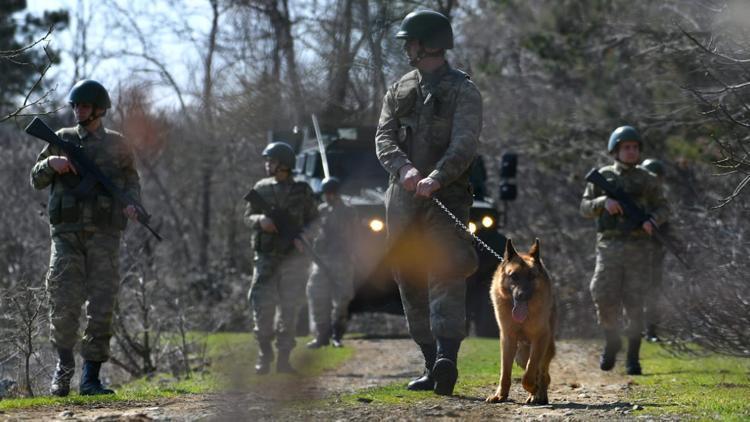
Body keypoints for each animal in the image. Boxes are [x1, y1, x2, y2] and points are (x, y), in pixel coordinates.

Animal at [488, 239, 560, 404]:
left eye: (531, 276)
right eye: (513, 276)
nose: (522, 295)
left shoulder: (540, 338)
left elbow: (530, 371)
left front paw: (532, 388)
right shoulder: (508, 340)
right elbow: (505, 372)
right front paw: (500, 395)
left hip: (545, 348)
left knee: (543, 374)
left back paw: (538, 394)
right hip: (520, 355)